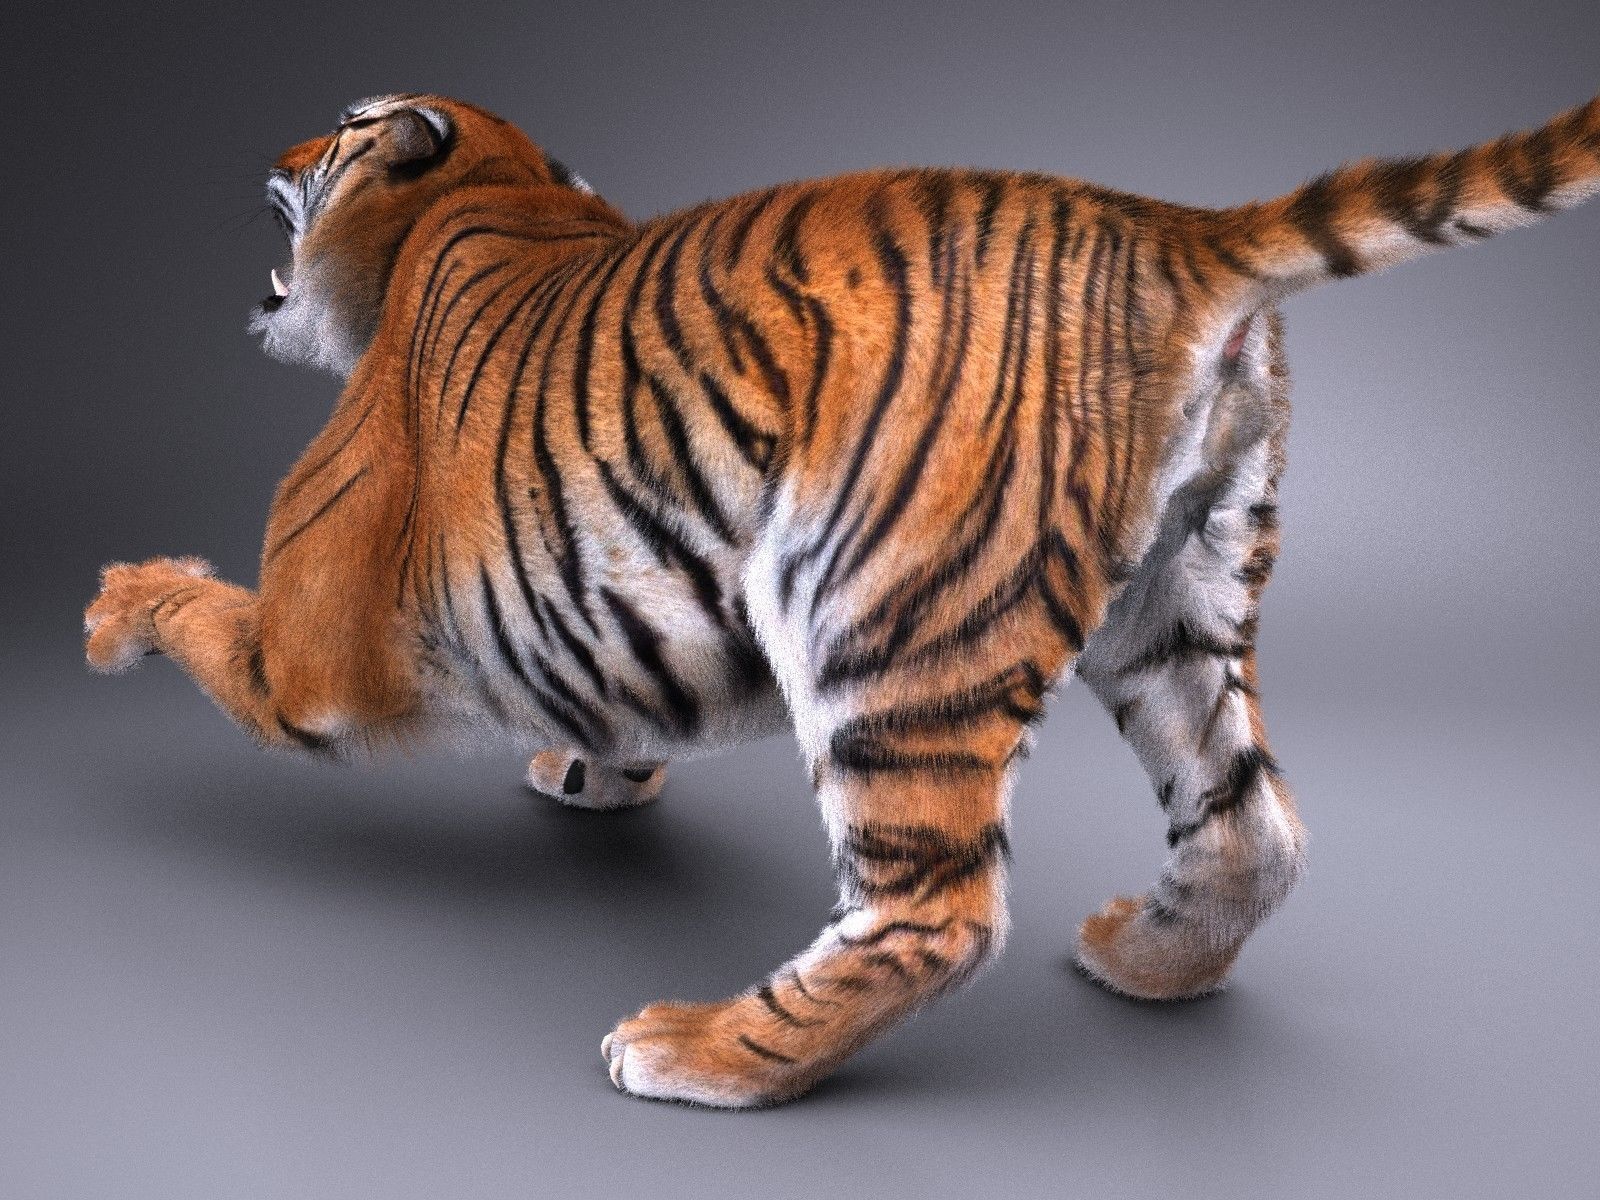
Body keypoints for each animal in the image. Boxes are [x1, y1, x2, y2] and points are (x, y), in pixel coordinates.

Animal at [84, 91, 1600, 1107]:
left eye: (341, 129)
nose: (271, 161)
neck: (489, 198)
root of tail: (1175, 232)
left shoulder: (311, 658)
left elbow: (206, 614)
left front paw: (116, 606)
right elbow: (612, 688)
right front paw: (588, 772)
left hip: (888, 615)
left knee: (938, 909)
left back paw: (700, 1052)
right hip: (1177, 597)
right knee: (1253, 823)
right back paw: (1147, 960)